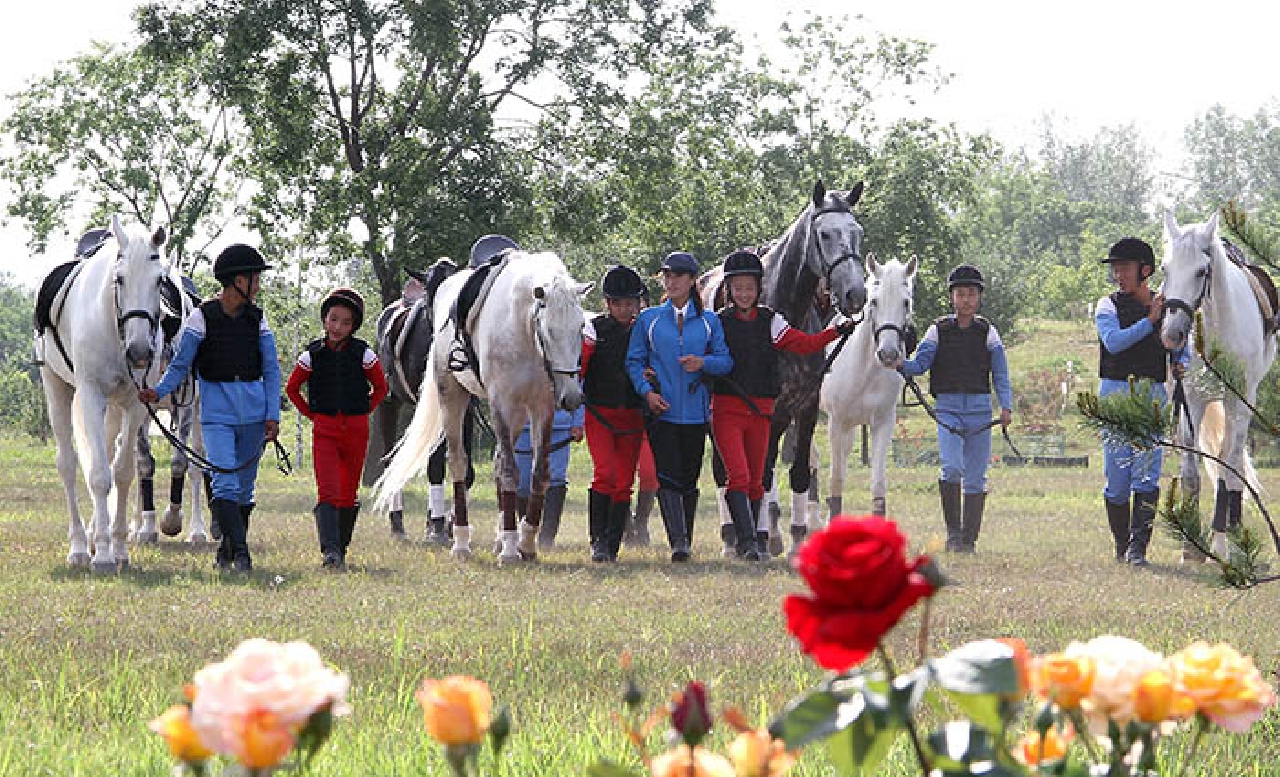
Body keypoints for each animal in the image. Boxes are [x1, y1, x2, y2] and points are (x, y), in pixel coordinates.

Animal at [37, 215, 169, 570]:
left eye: (159, 280)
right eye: (119, 279)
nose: (140, 351)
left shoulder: (136, 404)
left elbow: (121, 473)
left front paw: (119, 547)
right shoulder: (91, 394)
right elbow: (98, 475)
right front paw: (105, 557)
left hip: (113, 408)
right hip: (57, 388)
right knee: (68, 466)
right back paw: (81, 547)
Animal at [373, 251, 590, 562]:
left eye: (581, 327)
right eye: (548, 330)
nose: (571, 397)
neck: (522, 327)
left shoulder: (542, 407)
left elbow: (539, 473)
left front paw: (525, 542)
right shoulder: (501, 404)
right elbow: (509, 471)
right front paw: (510, 548)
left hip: (515, 414)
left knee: (496, 462)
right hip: (450, 399)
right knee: (456, 463)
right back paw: (460, 541)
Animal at [822, 254, 916, 520]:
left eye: (906, 303)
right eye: (874, 301)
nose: (889, 354)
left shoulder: (882, 423)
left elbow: (878, 483)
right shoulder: (835, 422)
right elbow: (836, 479)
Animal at [1159, 211, 1278, 558]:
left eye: (1201, 271)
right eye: (1165, 269)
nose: (1171, 334)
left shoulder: (1238, 400)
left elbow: (1229, 466)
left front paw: (1227, 541)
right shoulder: (1190, 399)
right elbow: (1190, 470)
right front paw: (1191, 548)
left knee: (1232, 458)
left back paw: (1229, 536)